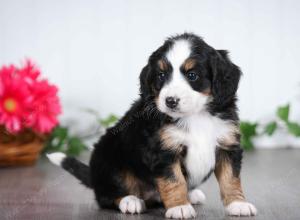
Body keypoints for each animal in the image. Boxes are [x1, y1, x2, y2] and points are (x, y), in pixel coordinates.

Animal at [48, 33, 256, 220]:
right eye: (161, 75)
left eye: (192, 75)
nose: (170, 101)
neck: (196, 116)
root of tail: (93, 176)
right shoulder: (163, 151)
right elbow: (174, 180)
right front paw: (179, 207)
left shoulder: (227, 145)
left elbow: (231, 179)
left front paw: (238, 204)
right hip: (108, 159)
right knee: (106, 196)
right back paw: (130, 200)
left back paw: (192, 194)